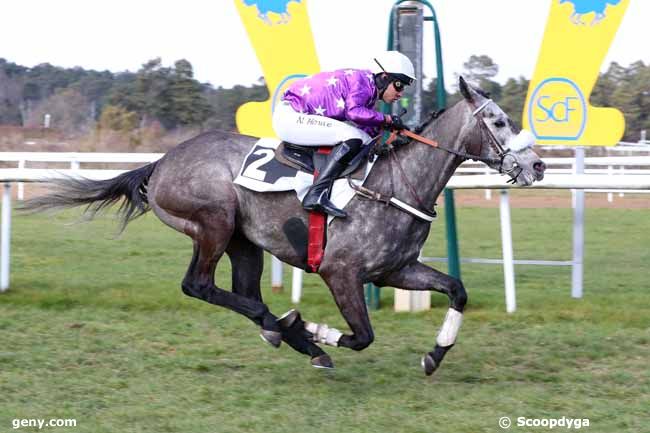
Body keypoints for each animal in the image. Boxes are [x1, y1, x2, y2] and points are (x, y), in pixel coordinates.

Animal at [24, 77, 540, 374]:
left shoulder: (396, 270)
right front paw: (313, 328)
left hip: (243, 241)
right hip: (213, 222)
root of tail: (162, 162)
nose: (537, 166)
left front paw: (434, 355)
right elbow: (362, 336)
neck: (397, 183)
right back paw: (295, 332)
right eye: (498, 121)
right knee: (198, 285)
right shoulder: (340, 272)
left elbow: (457, 290)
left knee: (242, 293)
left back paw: (284, 332)